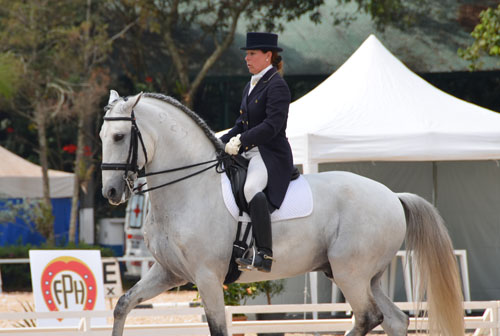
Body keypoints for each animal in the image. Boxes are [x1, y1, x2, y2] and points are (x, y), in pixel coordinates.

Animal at [100, 91, 464, 336]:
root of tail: (392, 196)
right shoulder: (169, 272)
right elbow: (123, 304)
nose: (111, 193)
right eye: (102, 136)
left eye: (119, 136)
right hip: (363, 276)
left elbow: (218, 328)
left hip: (351, 272)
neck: (189, 188)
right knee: (394, 320)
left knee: (367, 317)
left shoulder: (207, 276)